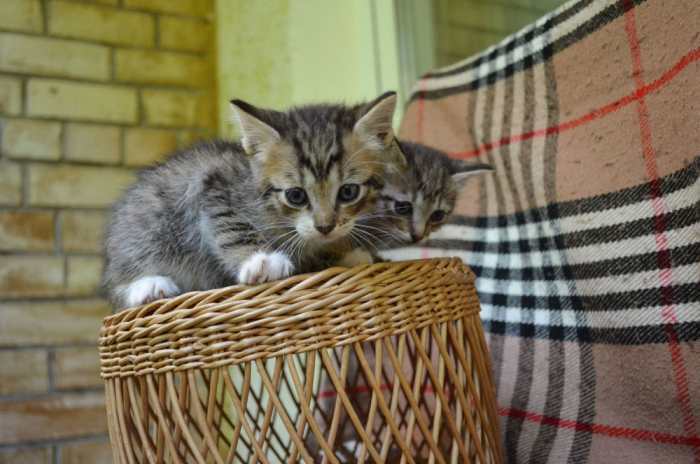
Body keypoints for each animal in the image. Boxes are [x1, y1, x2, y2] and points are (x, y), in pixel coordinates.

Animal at [101, 91, 402, 310]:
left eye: (348, 192)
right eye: (295, 195)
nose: (325, 226)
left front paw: (346, 253)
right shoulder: (213, 186)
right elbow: (232, 227)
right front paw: (261, 260)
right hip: (144, 229)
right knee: (121, 280)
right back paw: (148, 285)